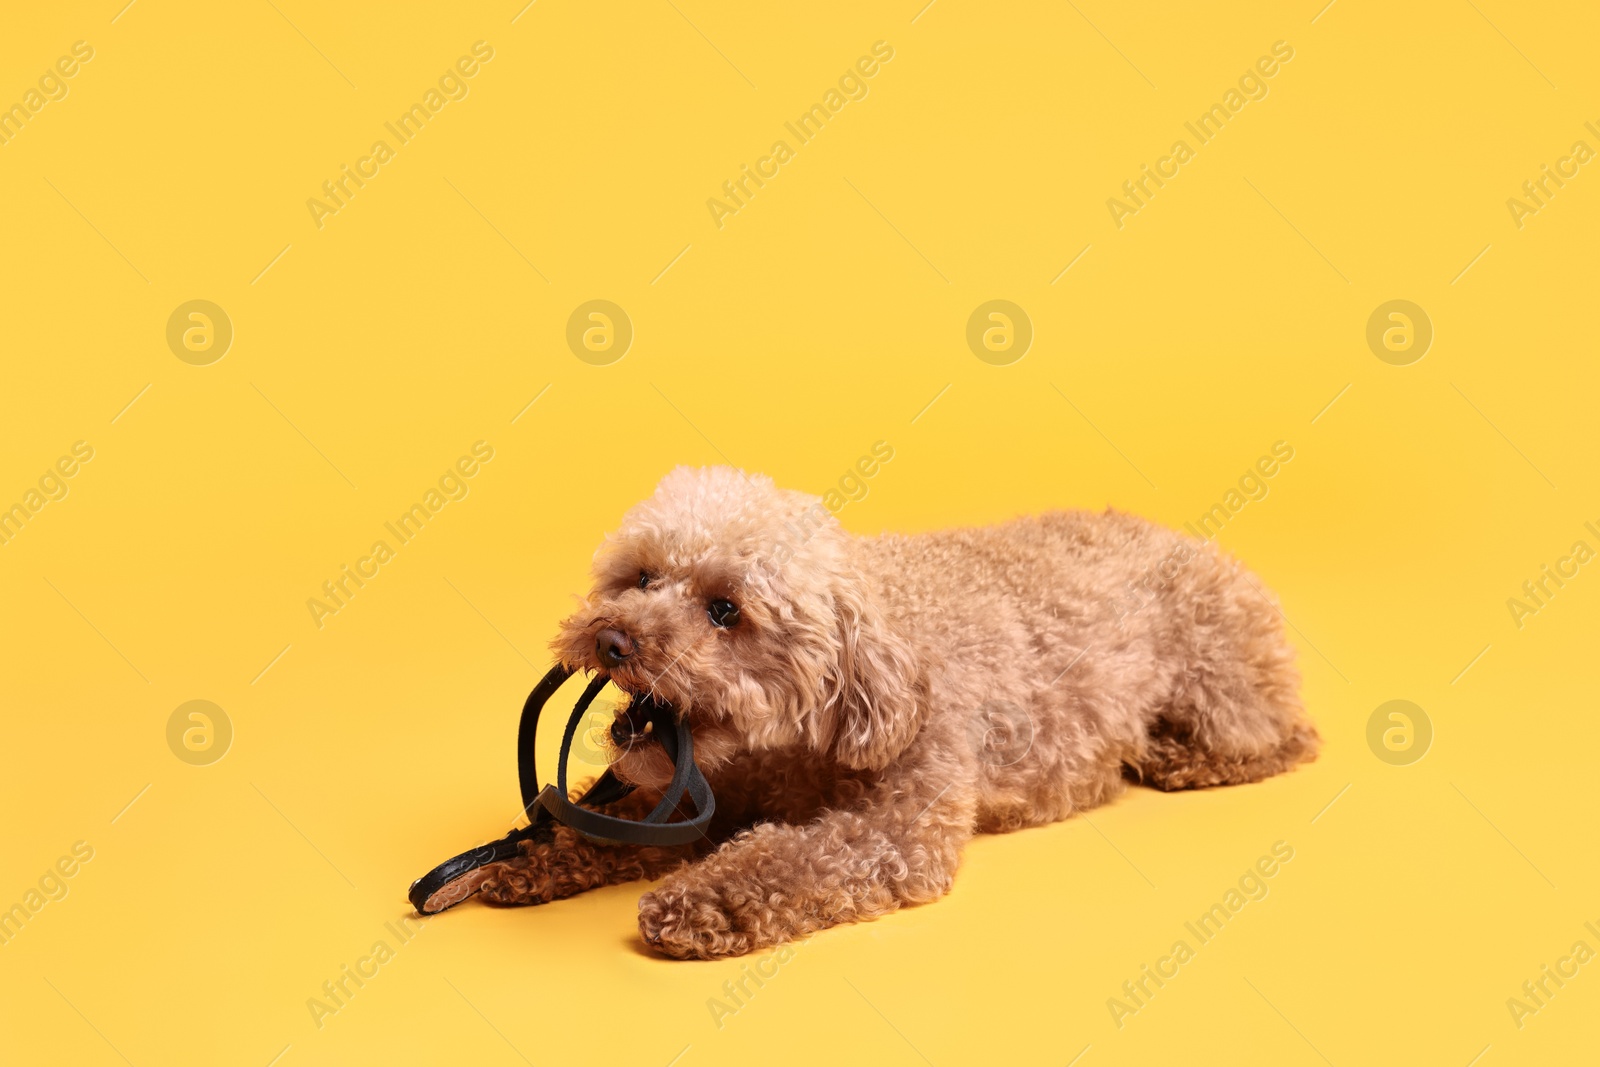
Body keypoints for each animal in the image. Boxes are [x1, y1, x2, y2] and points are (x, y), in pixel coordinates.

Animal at [448, 467, 1312, 959]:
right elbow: (601, 825)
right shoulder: (696, 795)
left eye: (725, 609)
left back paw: (1182, 758)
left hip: (1216, 671)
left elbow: (790, 857)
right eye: (641, 577)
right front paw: (524, 853)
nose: (612, 637)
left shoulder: (898, 826)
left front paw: (698, 901)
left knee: (1288, 739)